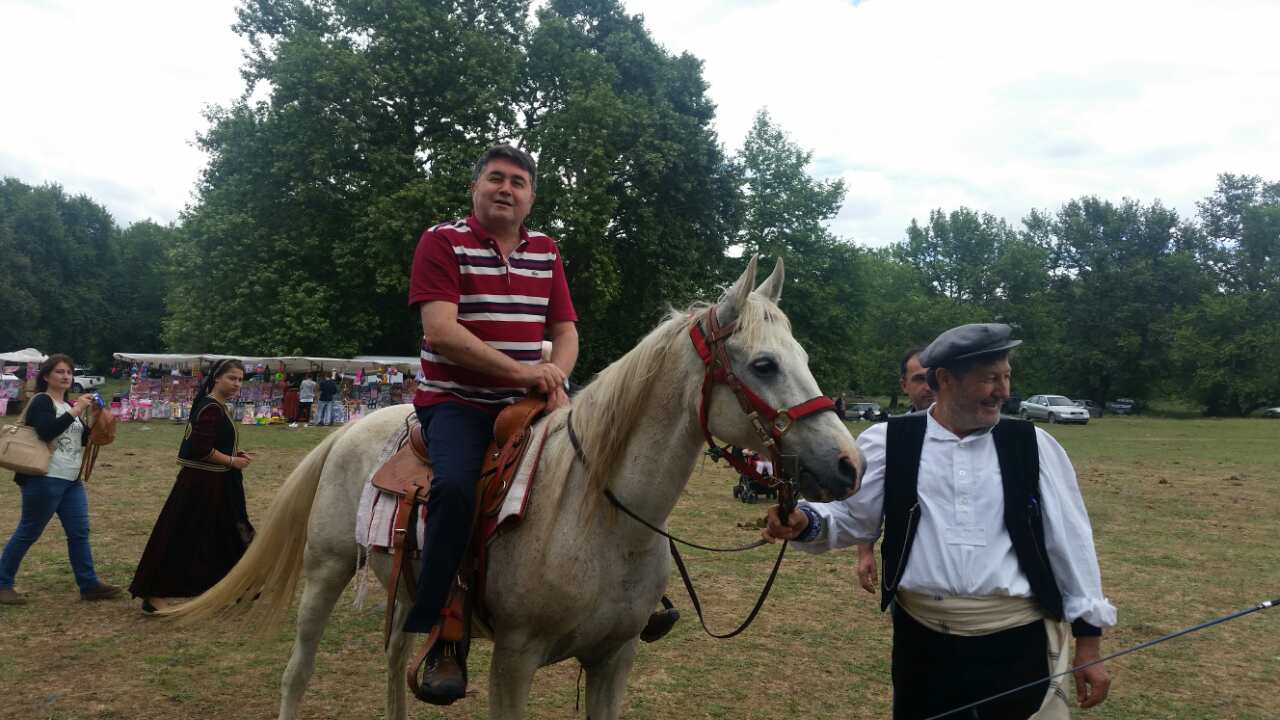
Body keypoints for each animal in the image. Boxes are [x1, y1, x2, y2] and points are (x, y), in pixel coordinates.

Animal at [168, 256, 862, 719]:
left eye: (802, 356)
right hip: (326, 570)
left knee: (392, 662)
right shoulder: (514, 659)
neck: (597, 517)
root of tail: (349, 430)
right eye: (763, 364)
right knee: (298, 670)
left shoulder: (614, 660)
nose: (849, 465)